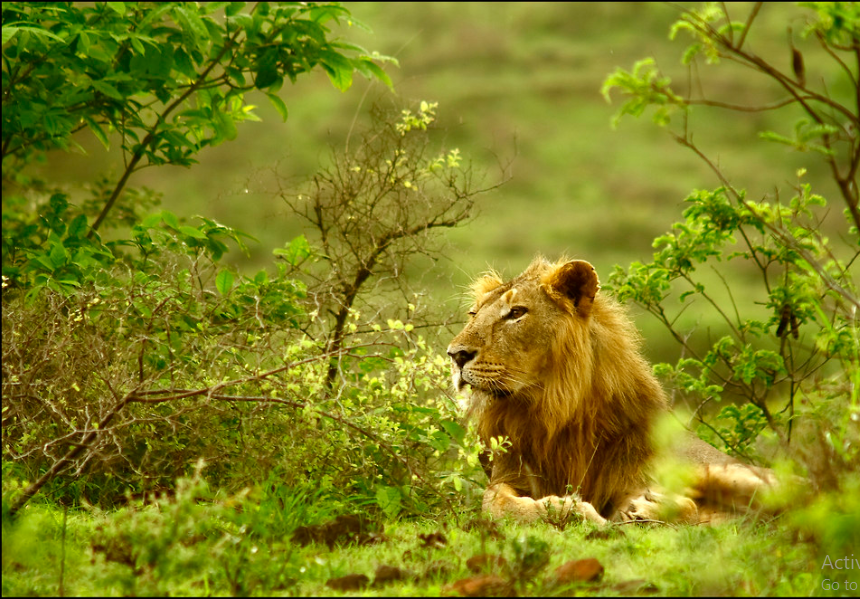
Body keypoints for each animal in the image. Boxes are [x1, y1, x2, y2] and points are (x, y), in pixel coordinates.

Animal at [447, 257, 779, 526]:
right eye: (473, 314)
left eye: (516, 312)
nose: (456, 355)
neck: (549, 407)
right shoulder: (508, 471)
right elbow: (494, 502)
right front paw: (568, 509)